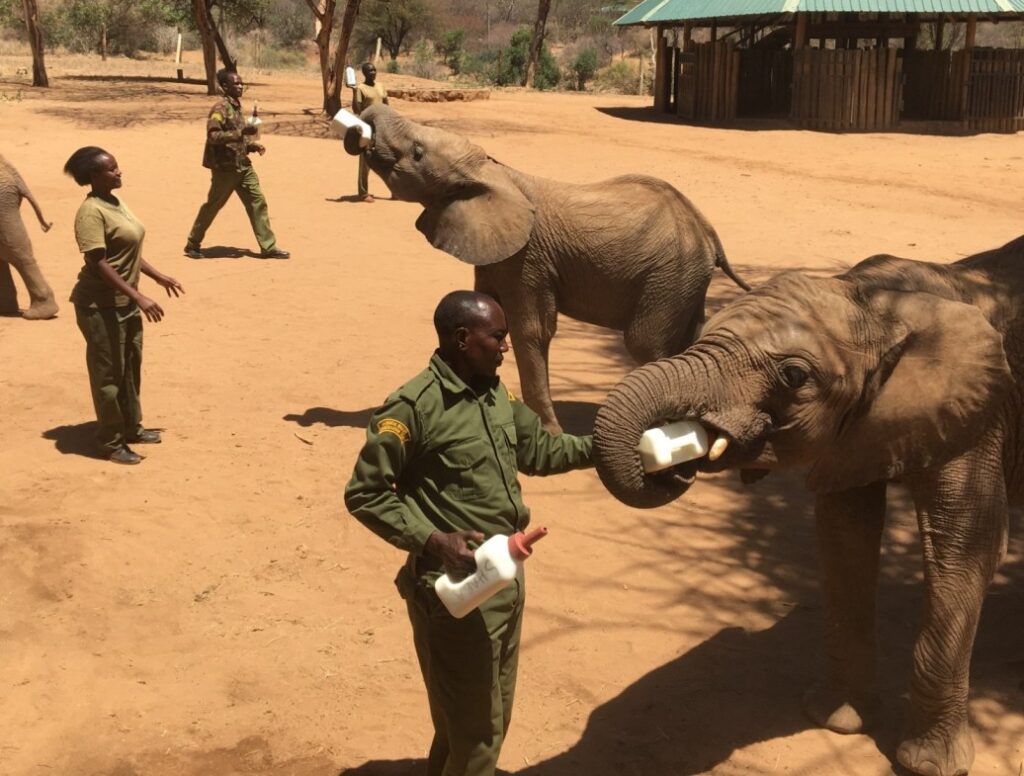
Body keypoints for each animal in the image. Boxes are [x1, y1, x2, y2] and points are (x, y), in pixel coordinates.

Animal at [342, 104, 749, 433]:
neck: (492, 170)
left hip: (668, 275)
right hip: (684, 278)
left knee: (646, 344)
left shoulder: (528, 259)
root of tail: (708, 232)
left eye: (418, 152)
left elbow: (530, 331)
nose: (359, 125)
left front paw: (548, 431)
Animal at [592, 235, 1024, 776]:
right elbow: (844, 536)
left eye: (793, 375)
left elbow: (965, 549)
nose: (674, 458)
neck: (877, 302)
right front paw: (835, 720)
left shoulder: (978, 415)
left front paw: (927, 766)